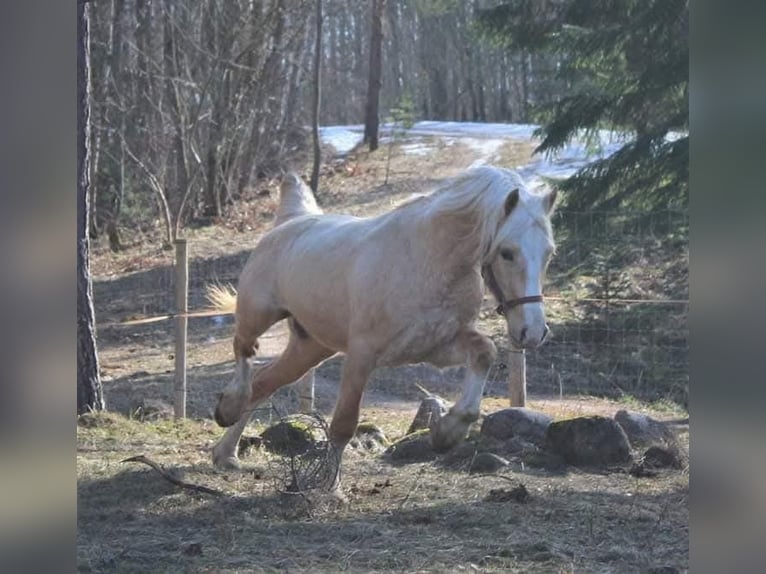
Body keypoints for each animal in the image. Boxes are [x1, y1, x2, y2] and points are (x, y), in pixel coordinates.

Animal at [210, 168, 560, 490]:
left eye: (549, 252)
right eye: (507, 252)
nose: (533, 331)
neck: (428, 260)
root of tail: (292, 220)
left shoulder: (435, 347)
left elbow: (485, 352)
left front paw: (446, 433)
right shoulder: (362, 354)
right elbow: (344, 423)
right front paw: (330, 489)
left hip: (310, 348)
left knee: (263, 383)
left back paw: (226, 454)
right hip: (259, 314)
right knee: (244, 350)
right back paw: (228, 407)